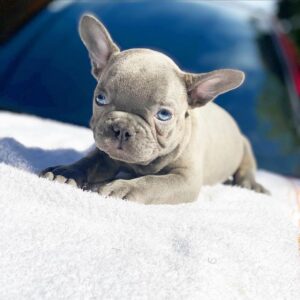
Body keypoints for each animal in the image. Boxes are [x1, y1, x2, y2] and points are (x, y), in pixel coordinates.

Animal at [39, 12, 268, 203]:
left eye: (164, 115)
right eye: (100, 99)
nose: (122, 129)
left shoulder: (184, 179)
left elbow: (153, 182)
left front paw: (122, 188)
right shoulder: (104, 155)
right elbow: (88, 162)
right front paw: (66, 172)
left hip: (245, 146)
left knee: (247, 166)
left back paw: (250, 183)